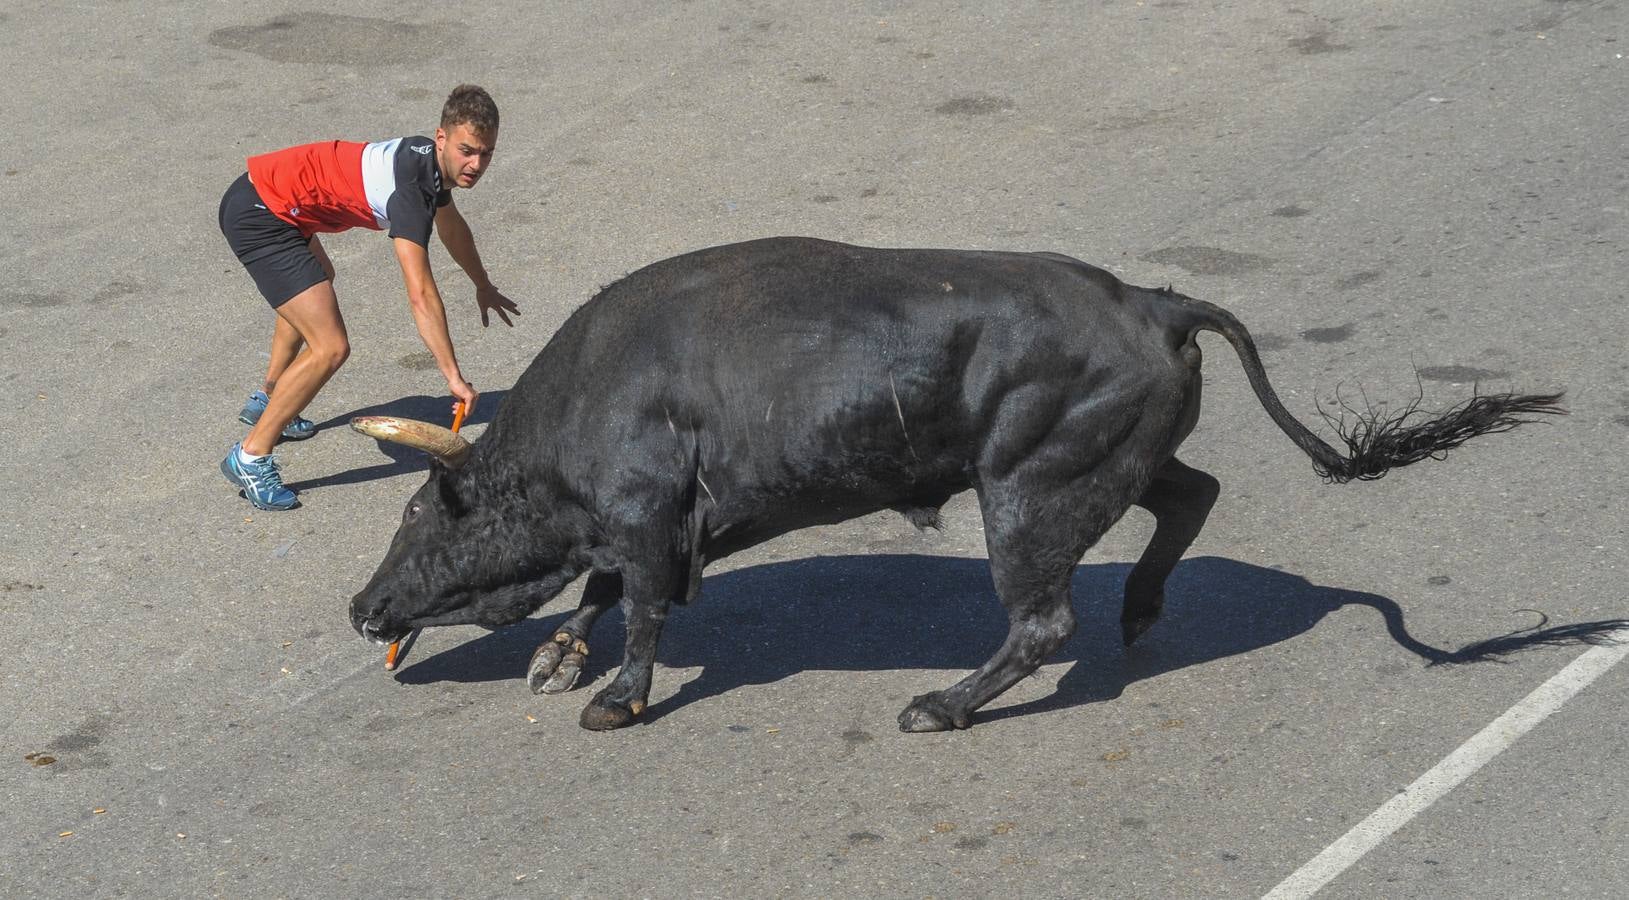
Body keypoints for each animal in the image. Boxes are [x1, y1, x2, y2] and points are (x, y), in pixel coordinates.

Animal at [346, 238, 1563, 730]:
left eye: (417, 512)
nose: (362, 608)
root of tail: (1153, 300)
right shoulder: (664, 526)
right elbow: (603, 594)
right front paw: (556, 659)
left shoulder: (650, 526)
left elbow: (638, 609)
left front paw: (612, 699)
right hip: (1091, 468)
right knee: (1188, 494)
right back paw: (1141, 612)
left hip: (1023, 496)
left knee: (1041, 618)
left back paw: (941, 705)